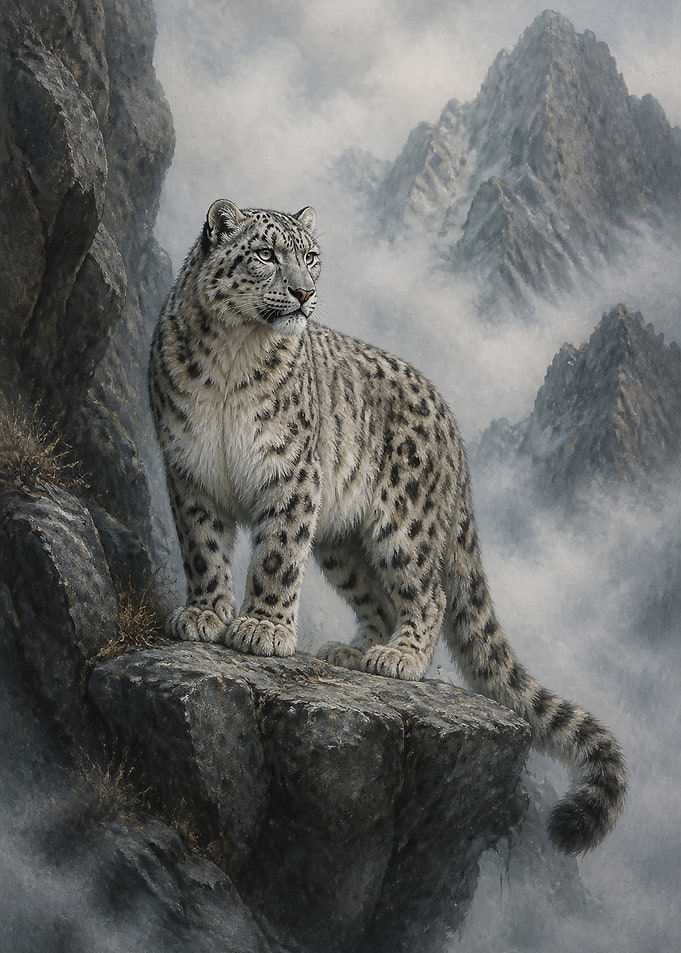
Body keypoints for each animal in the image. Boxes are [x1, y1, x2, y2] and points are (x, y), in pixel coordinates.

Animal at [148, 198, 626, 854]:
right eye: (266, 254)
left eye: (311, 257)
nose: (303, 293)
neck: (233, 352)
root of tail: (453, 428)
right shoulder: (189, 472)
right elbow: (203, 549)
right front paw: (205, 615)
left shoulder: (291, 478)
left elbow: (275, 557)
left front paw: (263, 629)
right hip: (344, 546)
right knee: (377, 598)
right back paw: (356, 652)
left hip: (404, 526)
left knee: (431, 595)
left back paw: (399, 658)